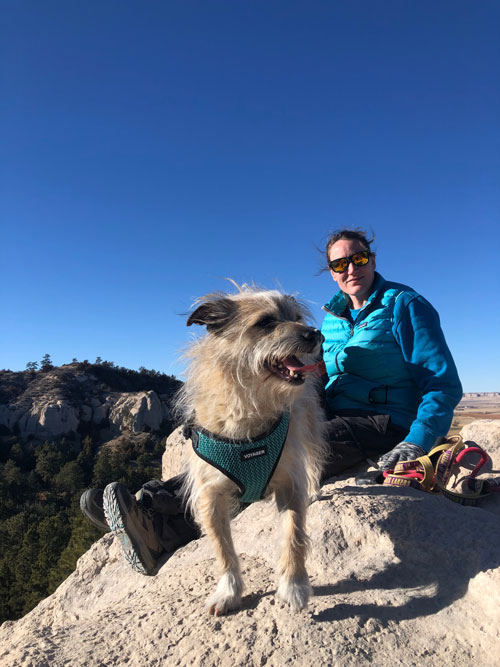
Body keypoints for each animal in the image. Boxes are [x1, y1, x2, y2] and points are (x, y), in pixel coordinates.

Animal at [177, 284, 328, 620]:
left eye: (297, 317)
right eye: (265, 322)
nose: (317, 335)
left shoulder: (289, 483)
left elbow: (293, 536)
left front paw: (294, 586)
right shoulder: (210, 496)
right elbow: (222, 549)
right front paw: (228, 591)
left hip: (309, 433)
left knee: (313, 461)